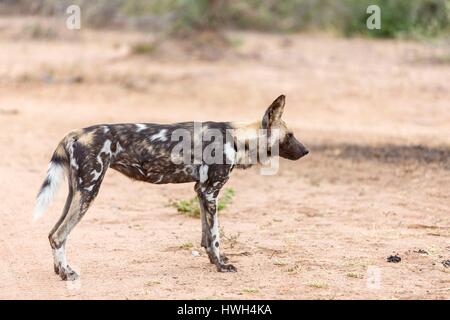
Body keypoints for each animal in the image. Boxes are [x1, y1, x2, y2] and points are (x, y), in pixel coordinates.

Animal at [34, 94, 310, 280]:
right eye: (290, 136)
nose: (306, 151)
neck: (238, 138)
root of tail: (75, 133)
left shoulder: (201, 191)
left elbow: (206, 236)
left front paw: (215, 260)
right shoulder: (211, 192)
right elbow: (216, 236)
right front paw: (221, 266)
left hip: (77, 192)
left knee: (53, 233)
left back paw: (59, 270)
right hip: (89, 191)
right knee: (59, 235)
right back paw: (68, 273)